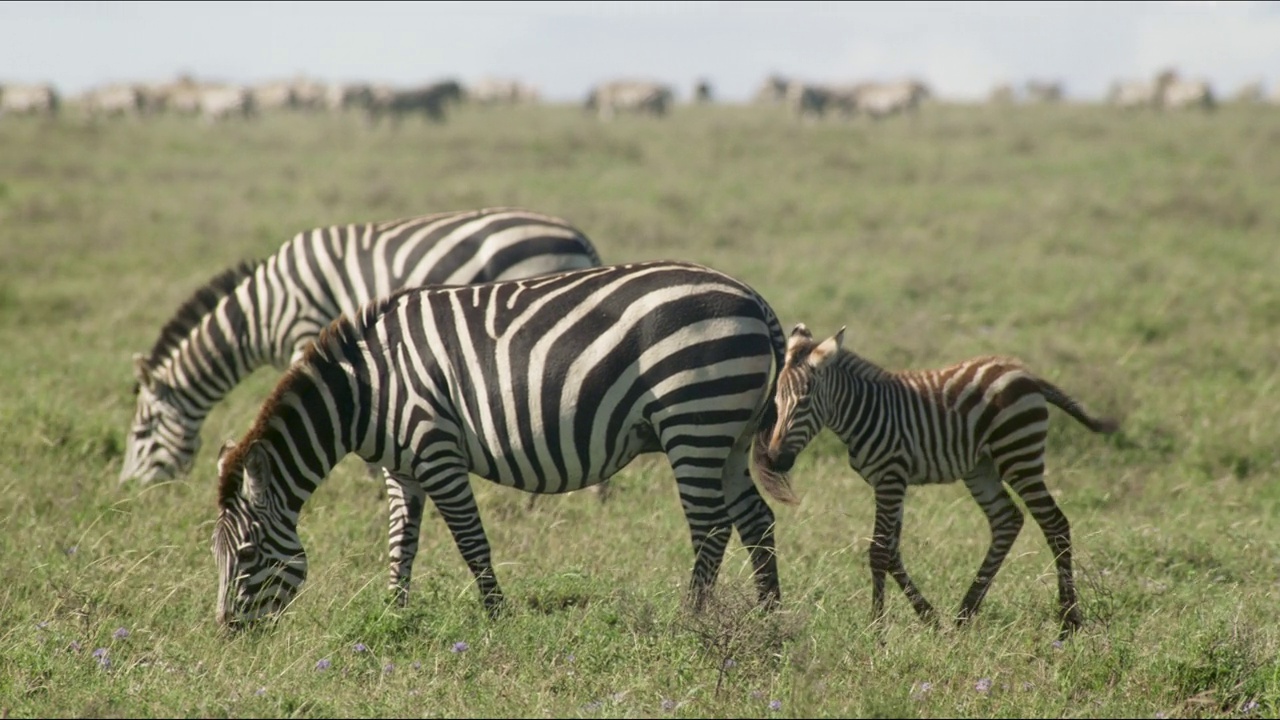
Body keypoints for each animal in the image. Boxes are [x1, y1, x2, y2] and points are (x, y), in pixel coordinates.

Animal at [215, 258, 793, 627]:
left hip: (694, 420)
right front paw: (393, 614)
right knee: (756, 520)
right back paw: (770, 616)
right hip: (728, 434)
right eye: (215, 554)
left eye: (246, 553)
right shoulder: (400, 468)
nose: (228, 631)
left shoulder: (436, 450)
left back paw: (691, 618)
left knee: (711, 526)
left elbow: (471, 542)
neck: (366, 390)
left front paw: (497, 617)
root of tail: (755, 299)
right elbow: (401, 543)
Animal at [757, 322, 1121, 635]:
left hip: (1019, 453)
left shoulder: (890, 478)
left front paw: (876, 626)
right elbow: (892, 552)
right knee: (1008, 520)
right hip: (981, 468)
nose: (775, 459)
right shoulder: (891, 481)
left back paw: (1069, 621)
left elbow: (879, 552)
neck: (864, 411)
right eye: (776, 399)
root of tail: (1027, 374)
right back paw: (965, 613)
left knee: (1055, 523)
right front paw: (928, 617)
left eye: (804, 401)